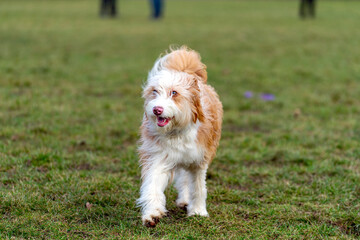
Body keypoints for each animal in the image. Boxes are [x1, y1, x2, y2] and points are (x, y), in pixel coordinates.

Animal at [137, 45, 222, 227]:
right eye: (155, 91)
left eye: (174, 93)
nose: (157, 110)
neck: (177, 132)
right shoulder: (158, 156)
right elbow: (153, 185)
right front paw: (152, 214)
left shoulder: (199, 160)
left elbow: (198, 187)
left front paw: (198, 211)